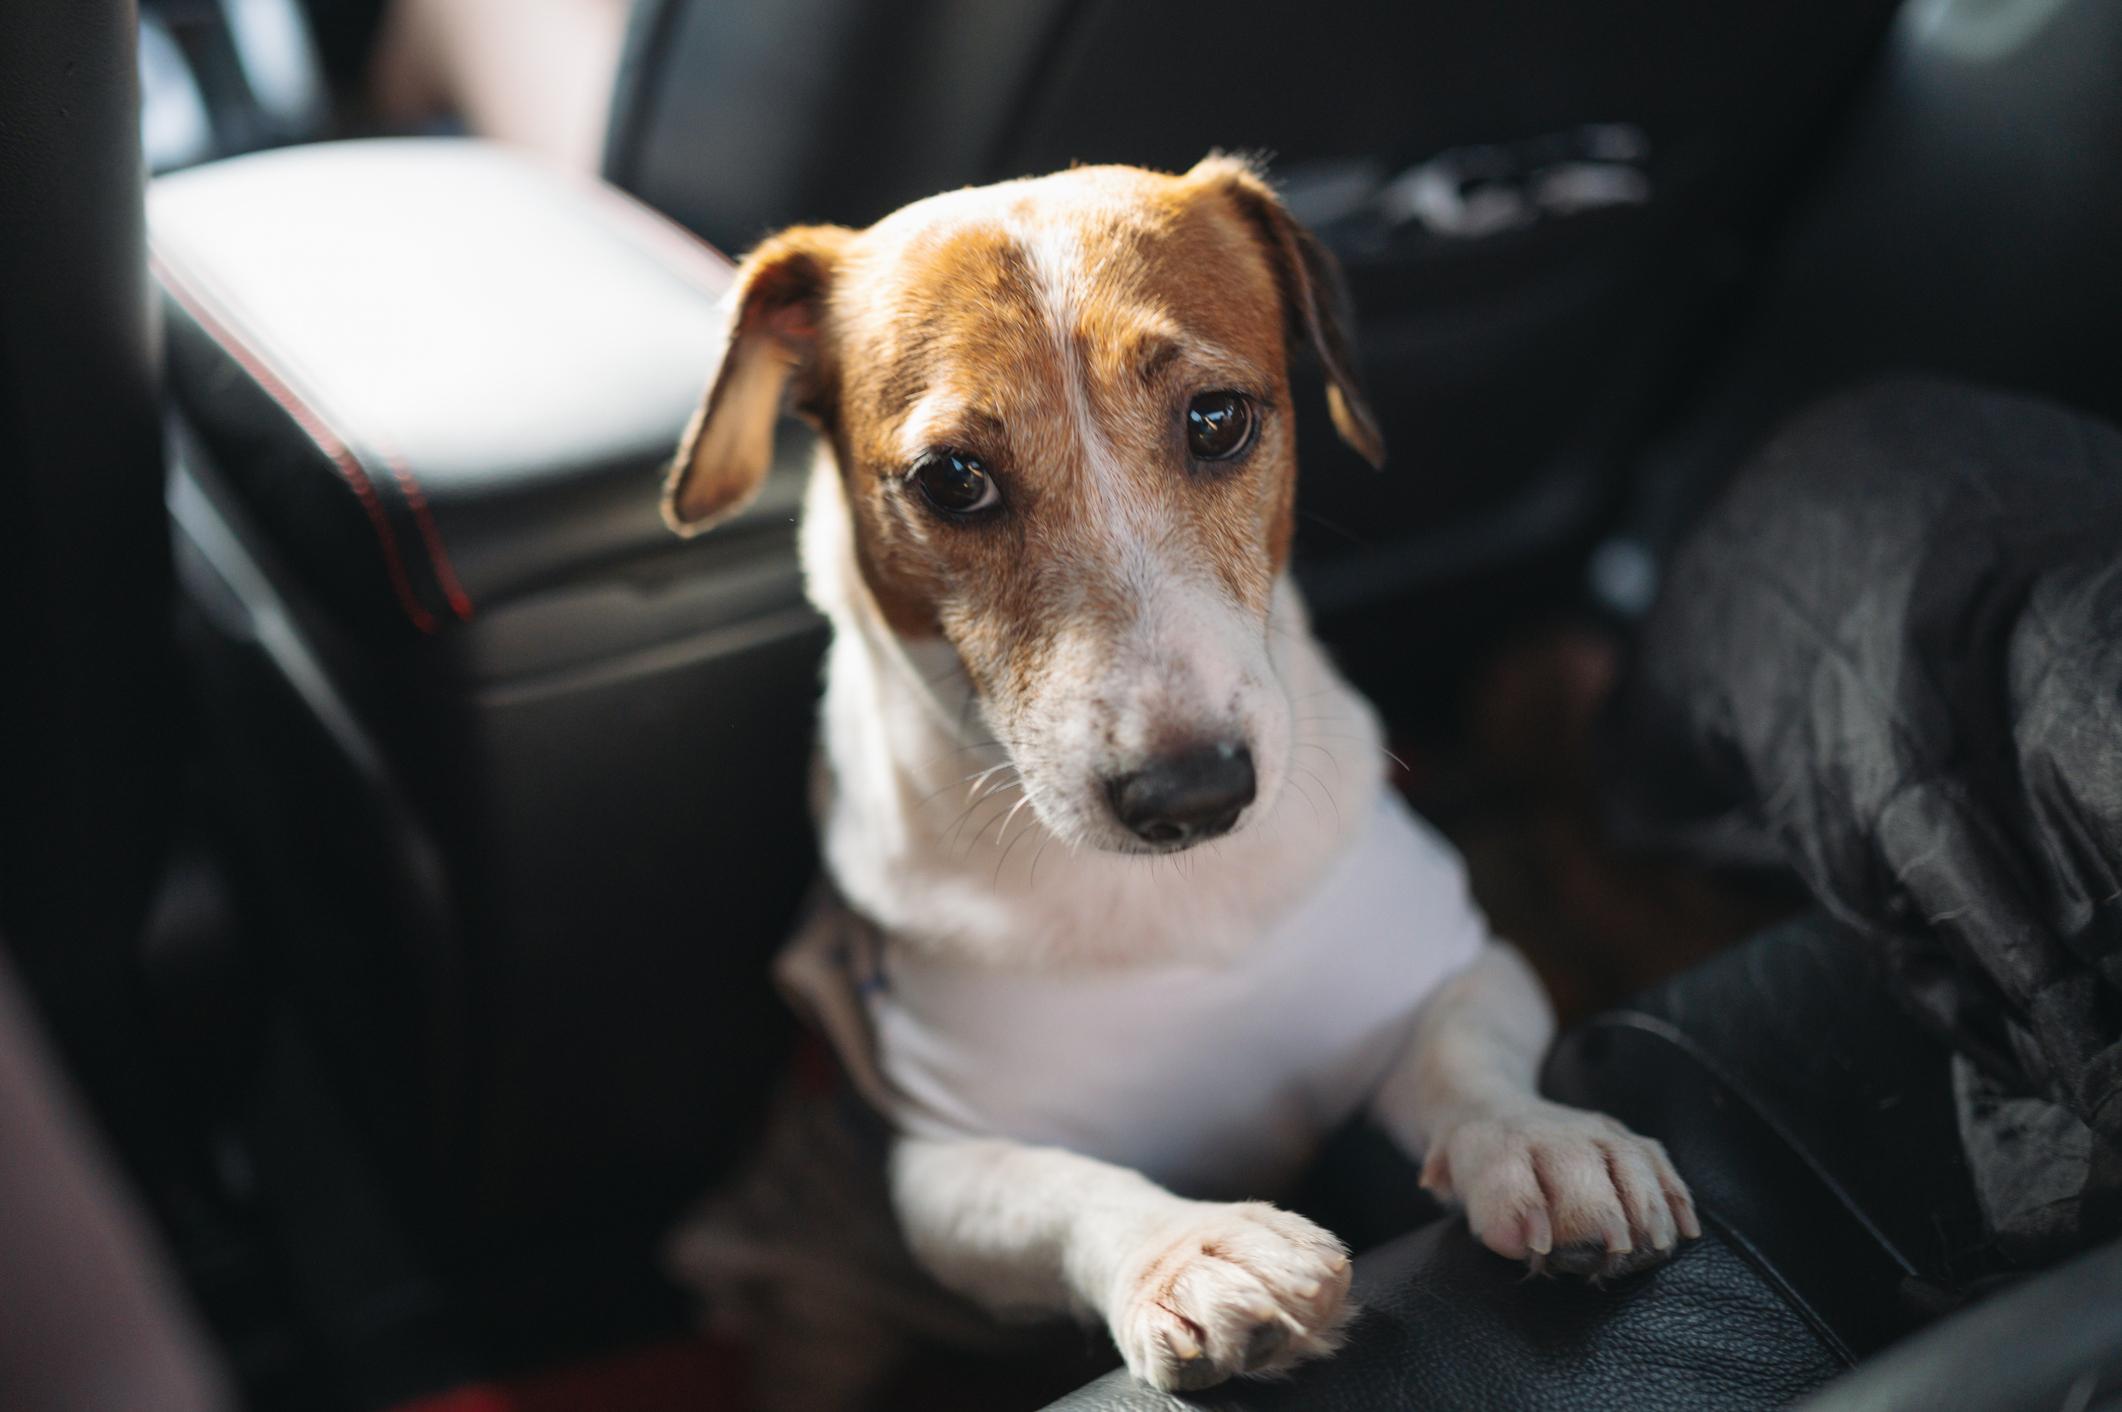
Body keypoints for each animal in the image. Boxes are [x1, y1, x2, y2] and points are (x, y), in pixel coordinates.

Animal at [653, 157, 1697, 1401]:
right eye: (952, 479)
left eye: (1217, 418)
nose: (1192, 792)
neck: (1181, 912)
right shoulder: (945, 1160)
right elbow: (1065, 1189)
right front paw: (1188, 1249)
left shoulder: (1449, 965)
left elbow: (1466, 1055)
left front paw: (1537, 1138)